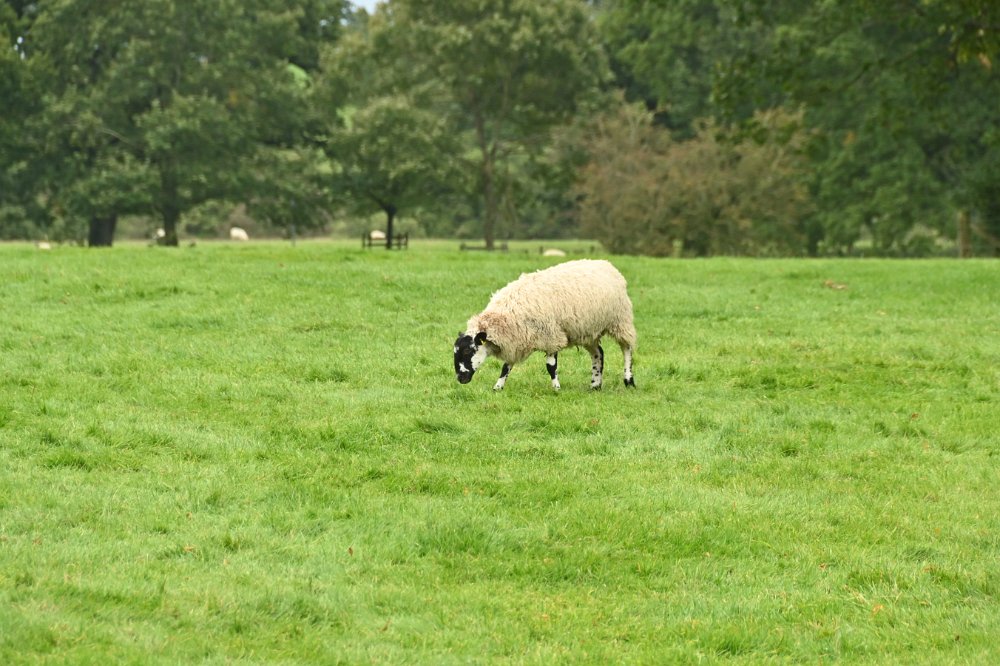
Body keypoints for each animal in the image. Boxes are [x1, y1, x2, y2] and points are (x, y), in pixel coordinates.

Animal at [453, 259, 637, 391]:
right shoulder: (516, 341)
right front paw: (498, 387)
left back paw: (628, 380)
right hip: (587, 330)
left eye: (468, 351)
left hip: (620, 320)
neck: (505, 317)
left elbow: (551, 366)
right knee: (598, 353)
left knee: (626, 349)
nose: (460, 379)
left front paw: (556, 388)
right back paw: (595, 384)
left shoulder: (551, 336)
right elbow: (506, 367)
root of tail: (606, 264)